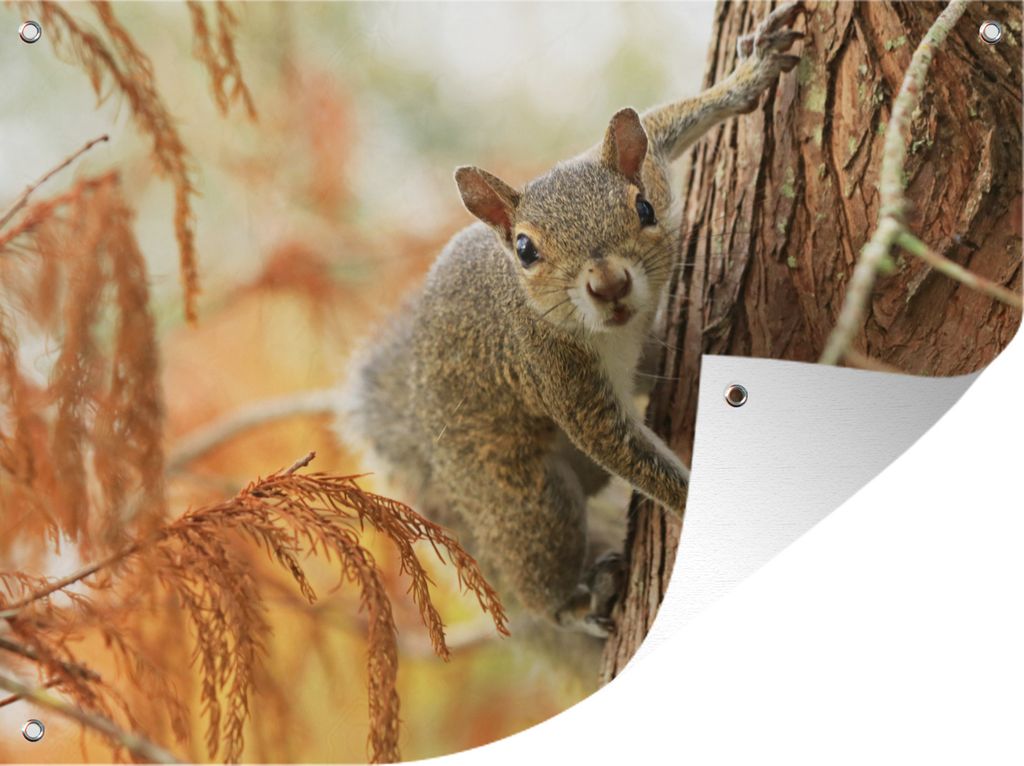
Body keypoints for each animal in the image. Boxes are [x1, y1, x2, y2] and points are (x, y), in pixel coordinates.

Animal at [340, 3, 804, 640]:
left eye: (644, 207)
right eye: (525, 249)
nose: (608, 284)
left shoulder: (649, 160)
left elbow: (664, 121)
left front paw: (746, 77)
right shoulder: (555, 371)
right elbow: (619, 445)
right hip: (528, 502)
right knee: (541, 571)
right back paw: (578, 602)